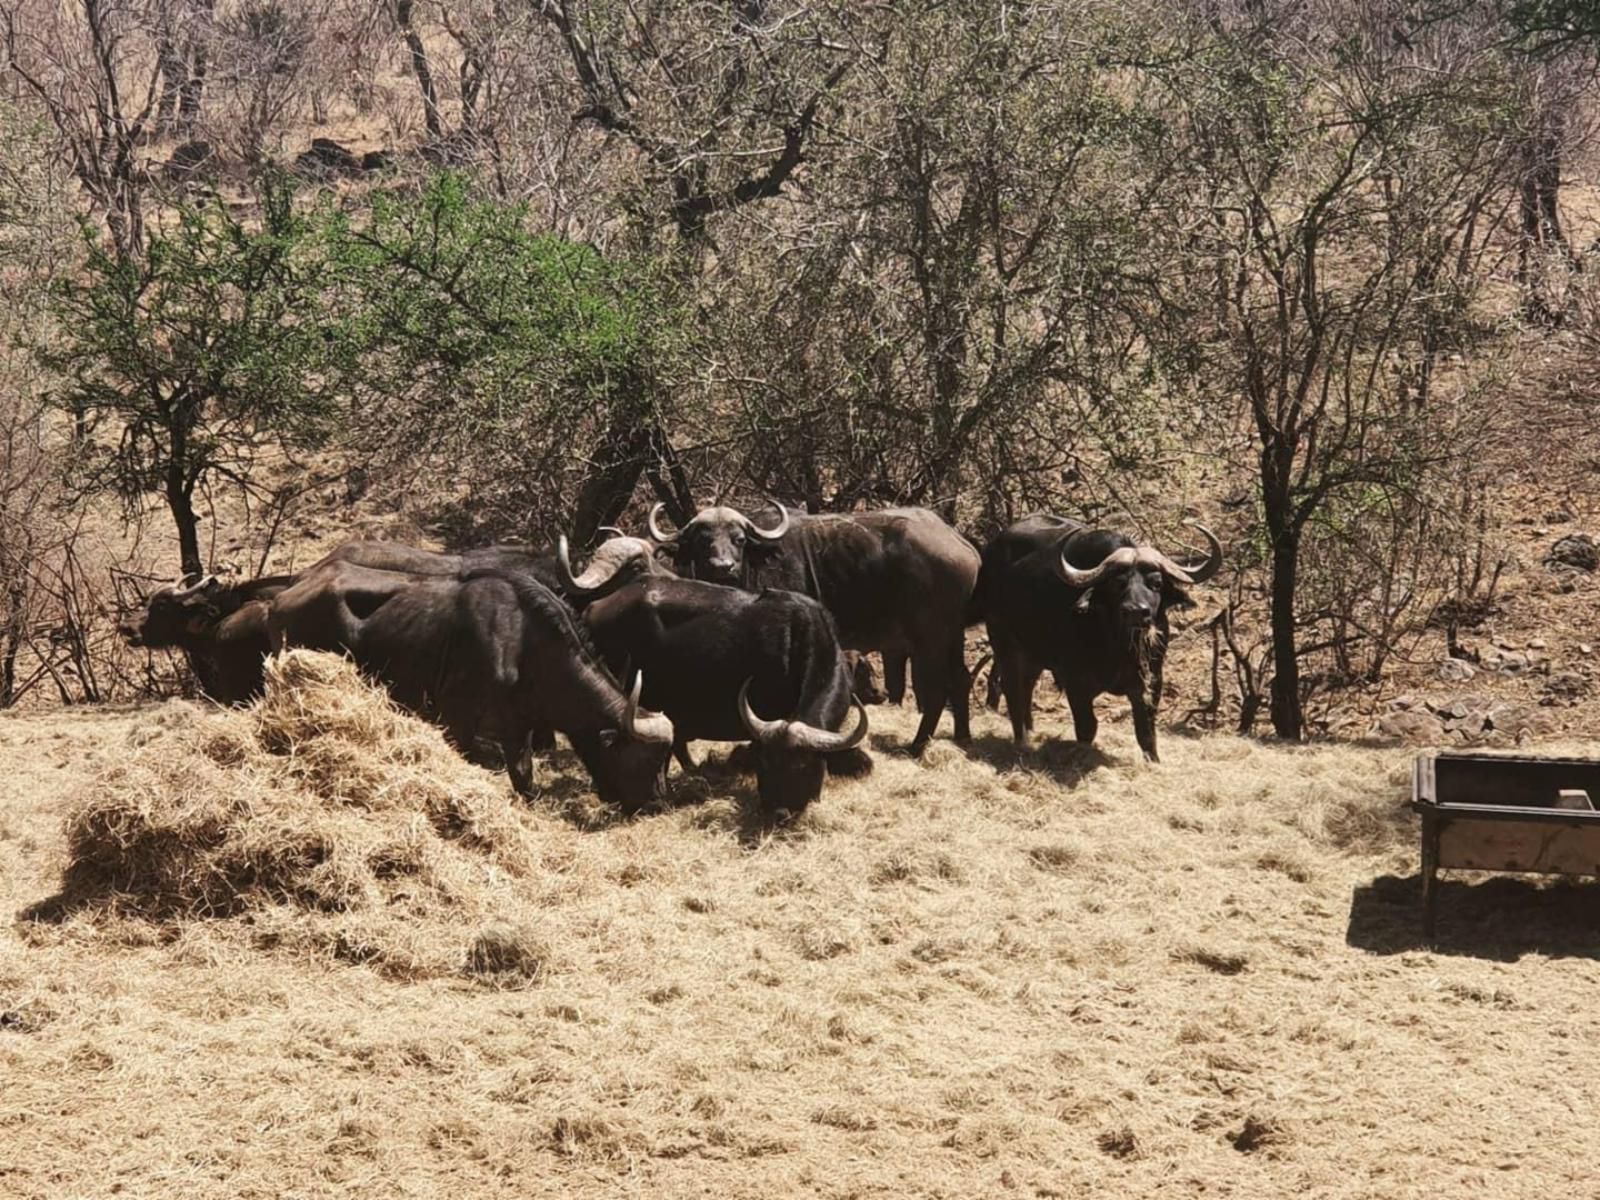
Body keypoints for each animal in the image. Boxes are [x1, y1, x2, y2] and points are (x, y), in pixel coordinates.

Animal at [264, 563, 675, 809]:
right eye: (648, 758)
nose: (656, 802)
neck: (524, 644)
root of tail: (282, 597)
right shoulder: (457, 719)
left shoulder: (519, 729)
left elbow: (524, 779)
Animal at [646, 502, 972, 755]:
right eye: (703, 541)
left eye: (738, 539)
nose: (722, 566)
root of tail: (961, 544)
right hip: (954, 637)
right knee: (961, 679)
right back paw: (962, 736)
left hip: (929, 639)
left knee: (936, 689)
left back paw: (917, 745)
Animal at [972, 515, 1222, 761]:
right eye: (1117, 583)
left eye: (1156, 583)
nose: (1136, 611)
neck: (1119, 648)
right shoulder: (1076, 683)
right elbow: (1087, 727)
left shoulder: (1150, 682)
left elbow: (1146, 732)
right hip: (1004, 643)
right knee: (1012, 689)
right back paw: (1021, 741)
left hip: (1034, 653)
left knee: (1027, 687)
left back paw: (1030, 732)